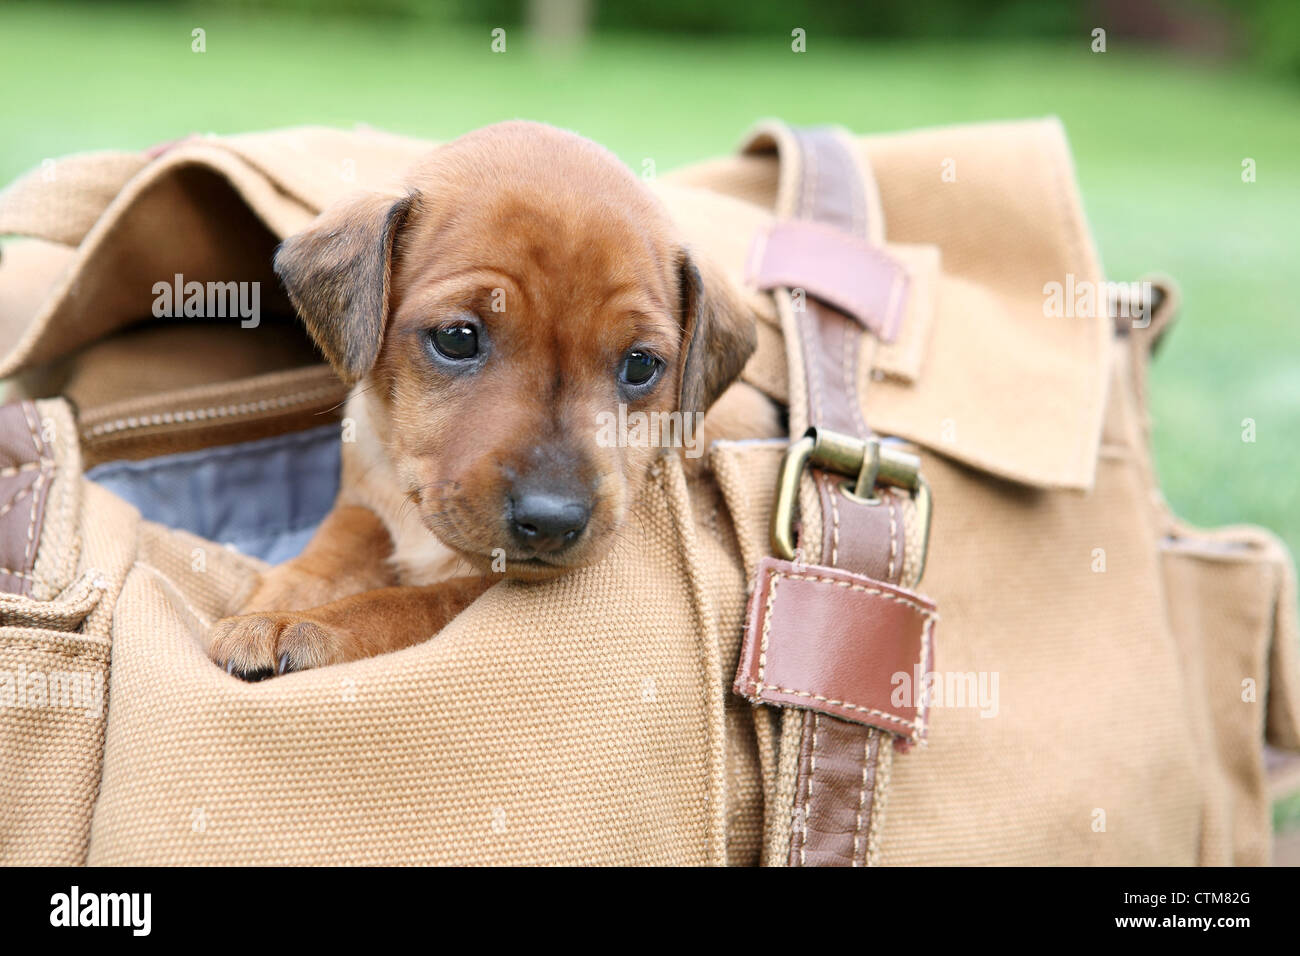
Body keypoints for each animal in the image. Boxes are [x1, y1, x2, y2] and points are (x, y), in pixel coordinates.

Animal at [205, 121, 769, 681]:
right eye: (456, 339)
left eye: (640, 365)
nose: (552, 520)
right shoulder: (365, 492)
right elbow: (345, 536)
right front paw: (284, 593)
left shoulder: (479, 593)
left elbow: (408, 604)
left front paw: (307, 624)